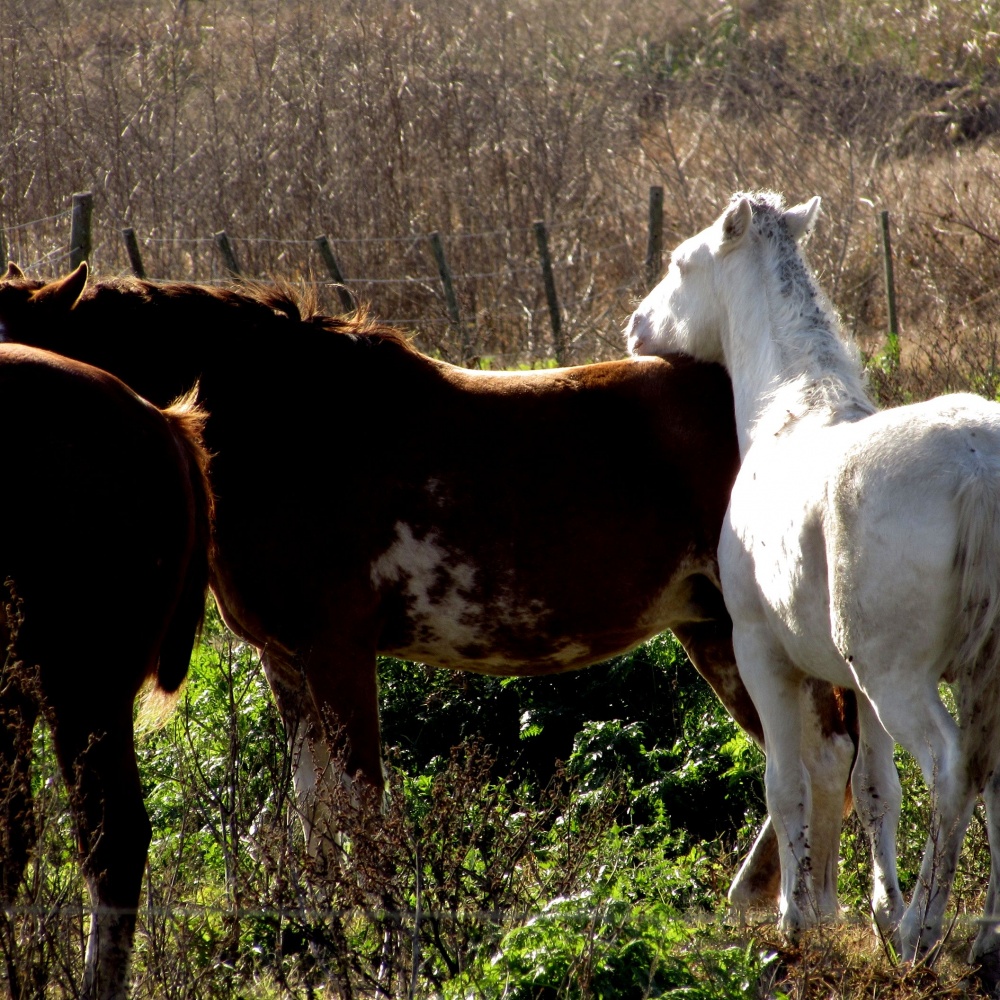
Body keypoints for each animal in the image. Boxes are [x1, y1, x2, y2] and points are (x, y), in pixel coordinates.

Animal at [0, 260, 860, 920]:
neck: (289, 426)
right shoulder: (287, 661)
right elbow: (311, 809)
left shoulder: (338, 653)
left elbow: (360, 808)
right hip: (710, 628)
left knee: (818, 756)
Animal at [628, 189, 1000, 984]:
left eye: (680, 262)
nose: (637, 326)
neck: (788, 413)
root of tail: (978, 461)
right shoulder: (852, 685)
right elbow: (876, 789)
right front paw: (877, 910)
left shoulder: (764, 657)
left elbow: (787, 781)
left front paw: (797, 918)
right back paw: (983, 937)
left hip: (901, 684)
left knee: (953, 775)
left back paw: (922, 934)